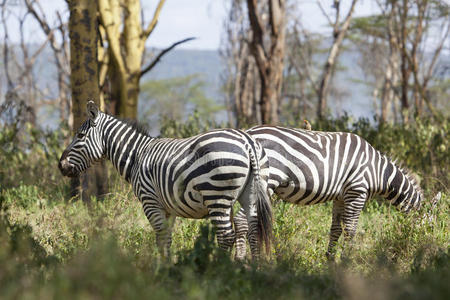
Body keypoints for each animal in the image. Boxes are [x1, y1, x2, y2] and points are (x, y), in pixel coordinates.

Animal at [58, 101, 272, 260]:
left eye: (80, 135)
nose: (61, 166)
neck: (137, 155)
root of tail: (247, 142)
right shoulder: (169, 207)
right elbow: (167, 239)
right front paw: (169, 268)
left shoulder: (150, 201)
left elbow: (160, 238)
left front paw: (161, 272)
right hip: (252, 193)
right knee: (254, 230)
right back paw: (254, 269)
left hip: (217, 195)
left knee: (226, 236)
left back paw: (219, 270)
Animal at [232, 125, 428, 258]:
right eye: (426, 225)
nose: (421, 247)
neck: (379, 172)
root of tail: (248, 135)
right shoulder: (357, 191)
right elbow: (350, 229)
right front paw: (346, 260)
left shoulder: (340, 197)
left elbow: (336, 229)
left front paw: (330, 259)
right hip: (264, 182)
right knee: (242, 219)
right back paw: (248, 259)